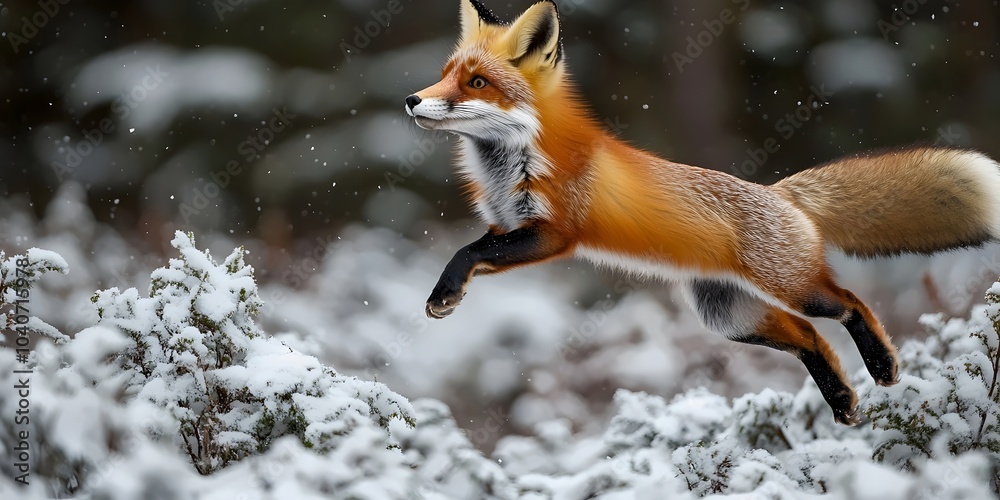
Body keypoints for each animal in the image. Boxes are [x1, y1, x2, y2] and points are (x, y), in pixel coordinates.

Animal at [403, 0, 1000, 425]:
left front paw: (443, 294)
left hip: (792, 288)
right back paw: (842, 401)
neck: (512, 164)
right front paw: (447, 294)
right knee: (810, 337)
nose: (412, 100)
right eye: (445, 74)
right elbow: (477, 248)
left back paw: (882, 366)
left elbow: (467, 250)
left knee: (850, 305)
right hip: (729, 317)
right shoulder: (511, 226)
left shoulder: (554, 232)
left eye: (477, 83)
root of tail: (782, 194)